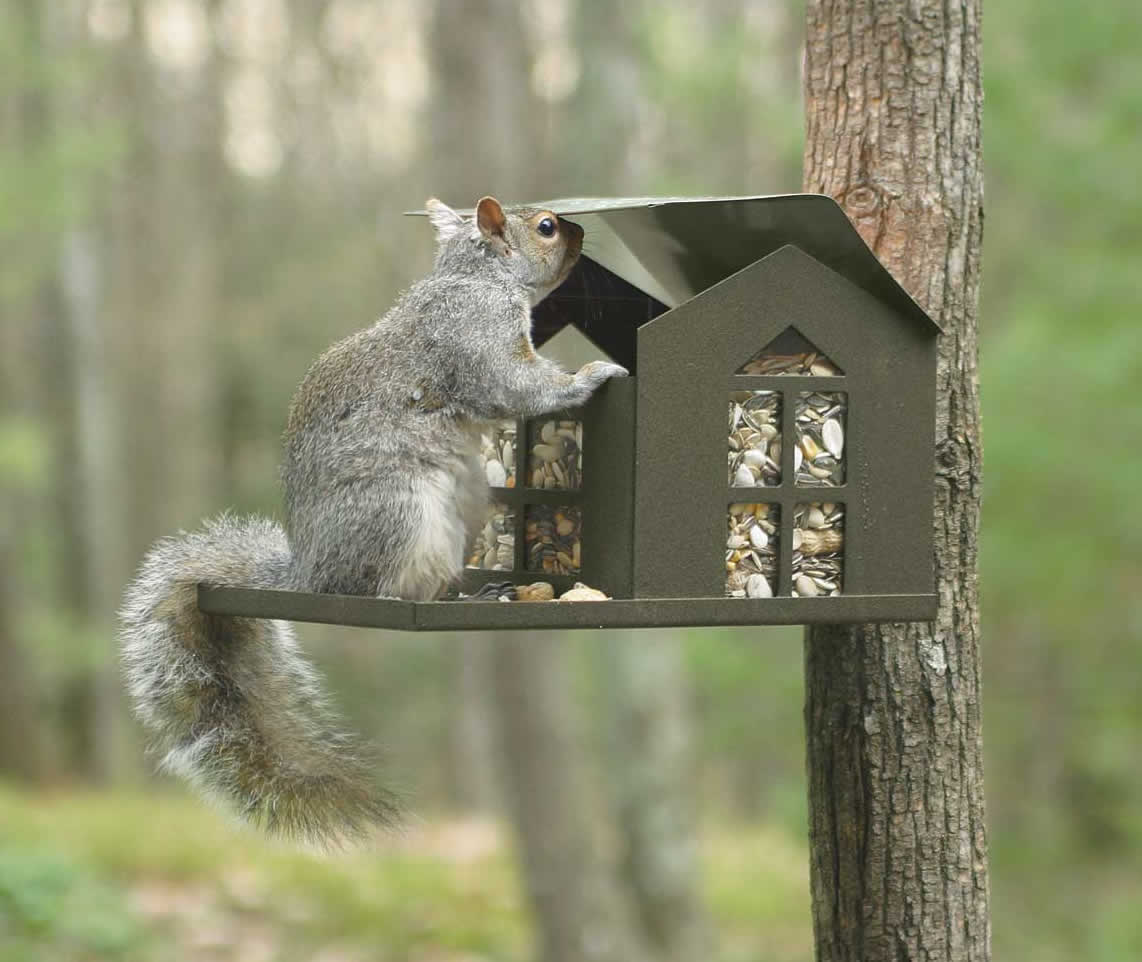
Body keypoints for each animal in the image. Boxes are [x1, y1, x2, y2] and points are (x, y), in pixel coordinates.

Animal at [120, 198, 630, 845]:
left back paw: (473, 592)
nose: (583, 231)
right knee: (380, 587)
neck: (478, 277)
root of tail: (310, 574)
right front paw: (590, 377)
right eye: (545, 227)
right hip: (398, 510)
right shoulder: (477, 336)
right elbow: (516, 386)